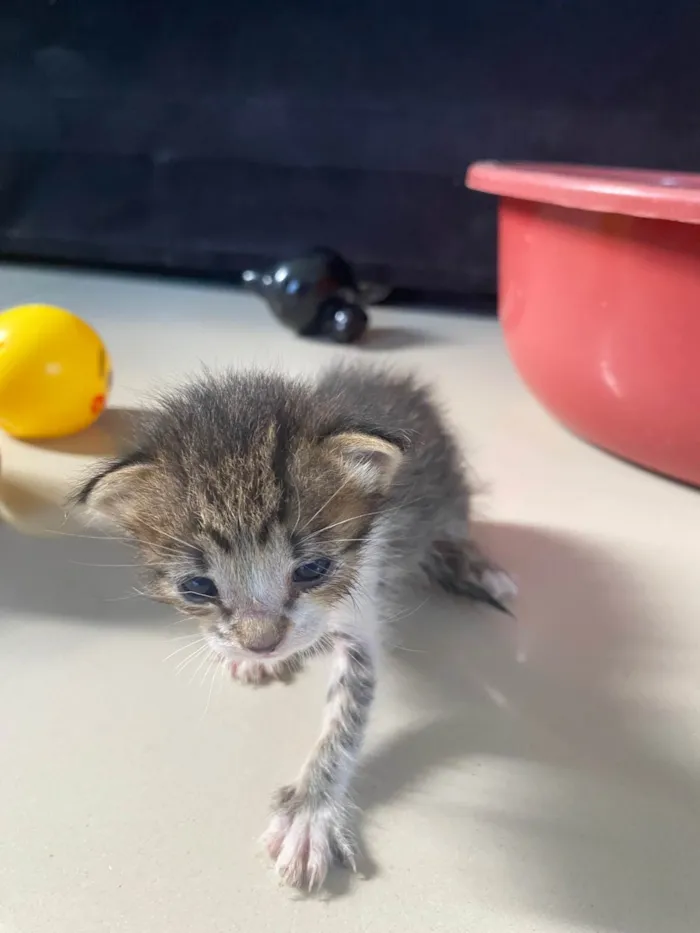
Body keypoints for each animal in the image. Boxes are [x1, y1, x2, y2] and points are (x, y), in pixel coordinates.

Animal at [75, 364, 516, 888]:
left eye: (312, 570)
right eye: (198, 586)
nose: (262, 644)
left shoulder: (362, 604)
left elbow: (345, 719)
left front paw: (311, 811)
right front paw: (247, 658)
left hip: (449, 491)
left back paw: (474, 564)